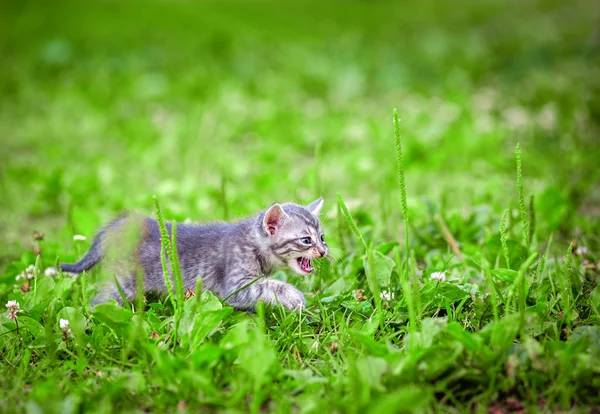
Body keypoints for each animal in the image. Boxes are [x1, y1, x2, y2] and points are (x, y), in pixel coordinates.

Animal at [58, 198, 326, 310]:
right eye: (306, 240)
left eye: (322, 237)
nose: (323, 251)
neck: (253, 243)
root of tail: (125, 224)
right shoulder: (234, 285)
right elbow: (266, 286)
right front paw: (294, 296)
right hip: (123, 284)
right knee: (101, 301)